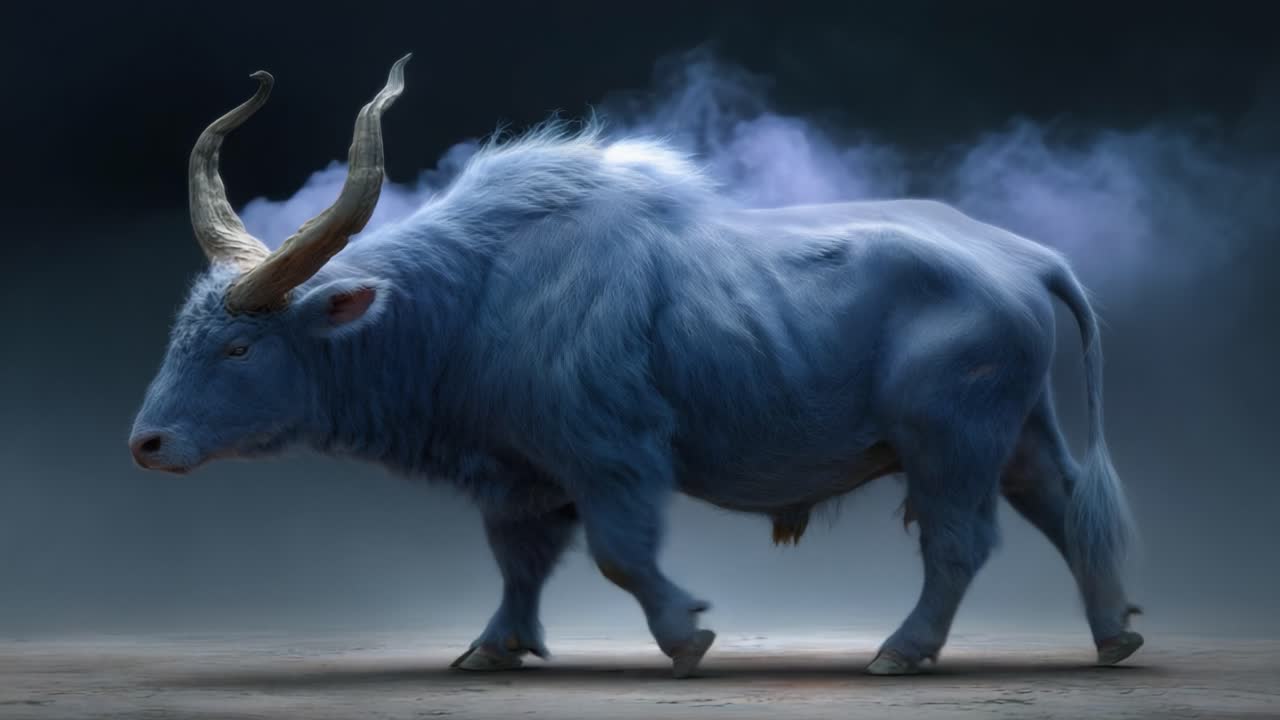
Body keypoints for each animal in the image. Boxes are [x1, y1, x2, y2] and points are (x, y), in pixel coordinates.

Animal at [129, 54, 1144, 678]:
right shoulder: (520, 476)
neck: (480, 291)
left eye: (239, 344)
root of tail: (1022, 255)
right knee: (1067, 510)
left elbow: (621, 555)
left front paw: (687, 635)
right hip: (1018, 435)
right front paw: (491, 649)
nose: (146, 443)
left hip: (950, 446)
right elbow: (519, 563)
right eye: (181, 334)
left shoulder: (611, 457)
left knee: (959, 542)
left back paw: (901, 650)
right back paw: (1114, 638)